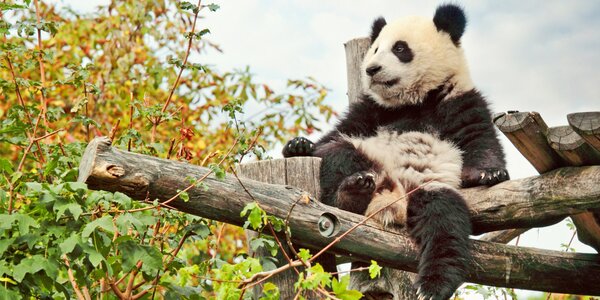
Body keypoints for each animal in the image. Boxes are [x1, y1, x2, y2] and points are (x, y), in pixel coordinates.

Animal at [284, 2, 508, 300]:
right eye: (376, 48)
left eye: (400, 48)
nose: (371, 69)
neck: (414, 101)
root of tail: (392, 198)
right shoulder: (370, 110)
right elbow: (337, 133)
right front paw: (298, 145)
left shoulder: (458, 98)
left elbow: (478, 137)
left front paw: (489, 173)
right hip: (364, 158)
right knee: (339, 154)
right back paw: (352, 192)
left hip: (428, 189)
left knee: (444, 223)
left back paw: (433, 286)